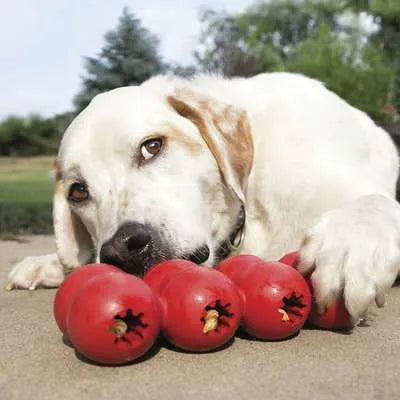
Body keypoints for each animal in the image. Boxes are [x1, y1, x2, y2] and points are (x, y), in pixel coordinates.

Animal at [6, 72, 400, 324]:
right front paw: (51, 263)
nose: (120, 249)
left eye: (152, 146)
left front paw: (351, 244)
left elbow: (374, 205)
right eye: (79, 191)